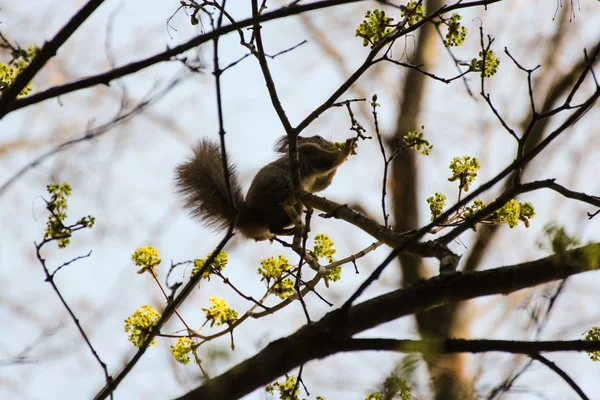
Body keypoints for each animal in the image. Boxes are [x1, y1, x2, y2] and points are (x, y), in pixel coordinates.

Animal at [176, 134, 358, 241]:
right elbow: (330, 161)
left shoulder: (314, 179)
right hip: (284, 203)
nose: (333, 143)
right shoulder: (310, 152)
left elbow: (322, 184)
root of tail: (252, 216)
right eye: (318, 137)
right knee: (275, 226)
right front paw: (347, 148)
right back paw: (290, 230)